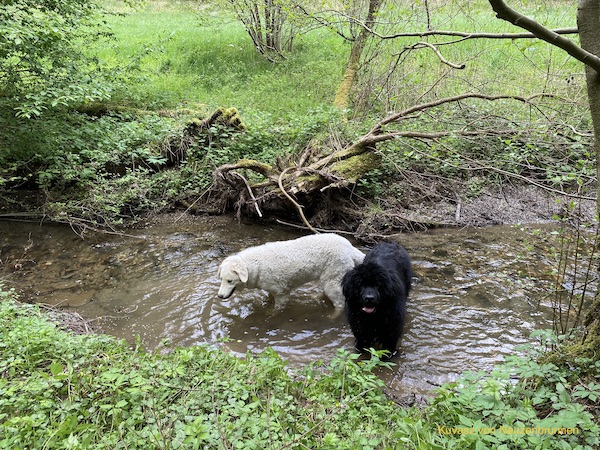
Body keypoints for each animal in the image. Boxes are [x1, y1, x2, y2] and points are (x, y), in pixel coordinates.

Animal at [218, 232, 364, 312]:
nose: (219, 296)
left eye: (230, 281)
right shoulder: (272, 290)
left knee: (340, 304)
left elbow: (277, 309)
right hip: (329, 278)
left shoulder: (282, 293)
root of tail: (349, 247)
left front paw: (269, 314)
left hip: (333, 277)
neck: (255, 265)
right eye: (221, 279)